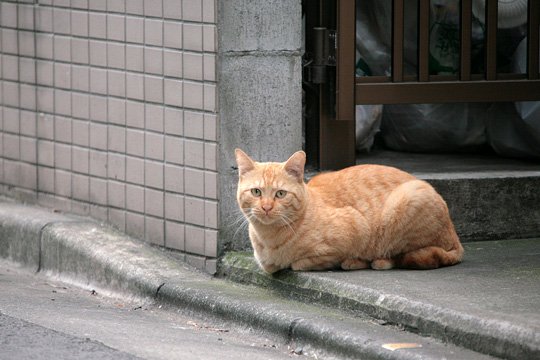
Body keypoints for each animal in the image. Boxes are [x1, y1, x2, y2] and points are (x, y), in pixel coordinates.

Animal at [235, 149, 464, 272]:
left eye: (280, 194)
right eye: (256, 192)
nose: (266, 207)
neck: (269, 239)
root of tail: (455, 236)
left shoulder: (355, 226)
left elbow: (300, 263)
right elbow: (269, 265)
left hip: (408, 200)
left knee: (403, 255)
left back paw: (367, 262)